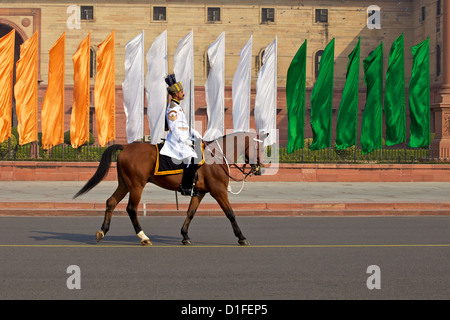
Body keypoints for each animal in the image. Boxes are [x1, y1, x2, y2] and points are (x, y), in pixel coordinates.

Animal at [73, 131, 264, 246]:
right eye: (258, 147)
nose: (260, 169)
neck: (216, 156)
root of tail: (126, 147)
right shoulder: (218, 191)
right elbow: (230, 213)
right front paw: (241, 237)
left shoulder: (200, 192)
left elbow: (190, 213)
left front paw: (185, 235)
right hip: (136, 185)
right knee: (131, 208)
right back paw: (143, 236)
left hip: (125, 184)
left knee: (111, 202)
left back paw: (103, 231)